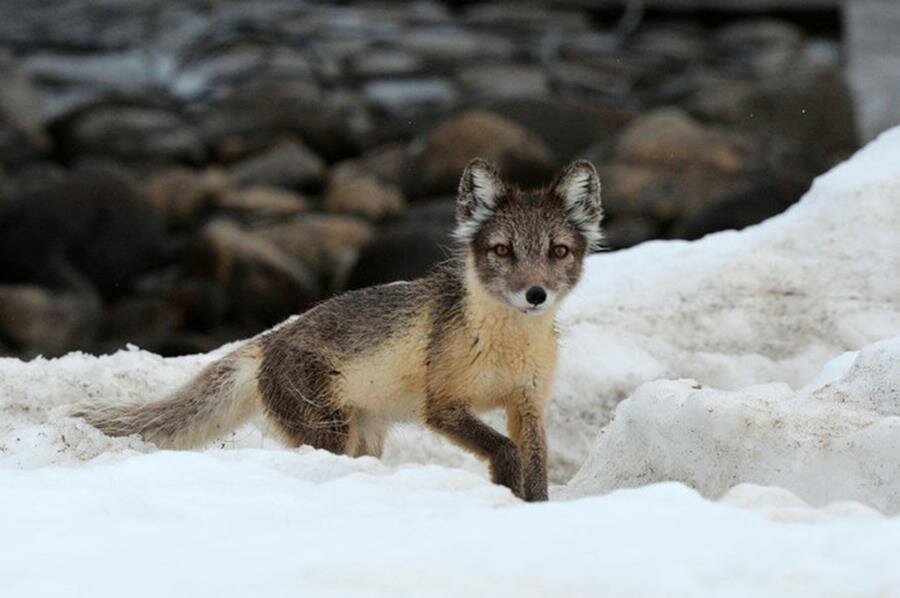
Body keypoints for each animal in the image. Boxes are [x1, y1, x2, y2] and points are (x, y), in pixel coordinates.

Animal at [74, 159, 600, 502]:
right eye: (502, 250)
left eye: (558, 251)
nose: (535, 294)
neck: (505, 347)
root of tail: (267, 341)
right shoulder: (442, 405)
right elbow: (506, 450)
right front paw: (506, 487)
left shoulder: (527, 404)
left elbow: (535, 465)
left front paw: (535, 508)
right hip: (330, 431)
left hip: (365, 435)